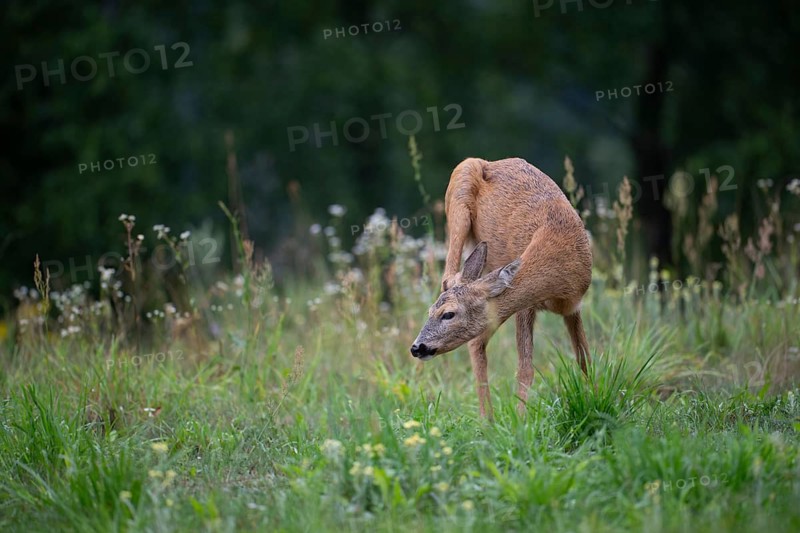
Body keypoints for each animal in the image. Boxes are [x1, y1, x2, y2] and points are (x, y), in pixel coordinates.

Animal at [410, 157, 592, 420]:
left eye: (448, 314)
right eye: (431, 312)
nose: (417, 347)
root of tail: (491, 162)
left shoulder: (574, 306)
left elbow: (584, 357)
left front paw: (593, 397)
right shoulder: (526, 306)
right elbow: (525, 368)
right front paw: (521, 419)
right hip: (457, 207)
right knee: (449, 280)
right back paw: (487, 420)